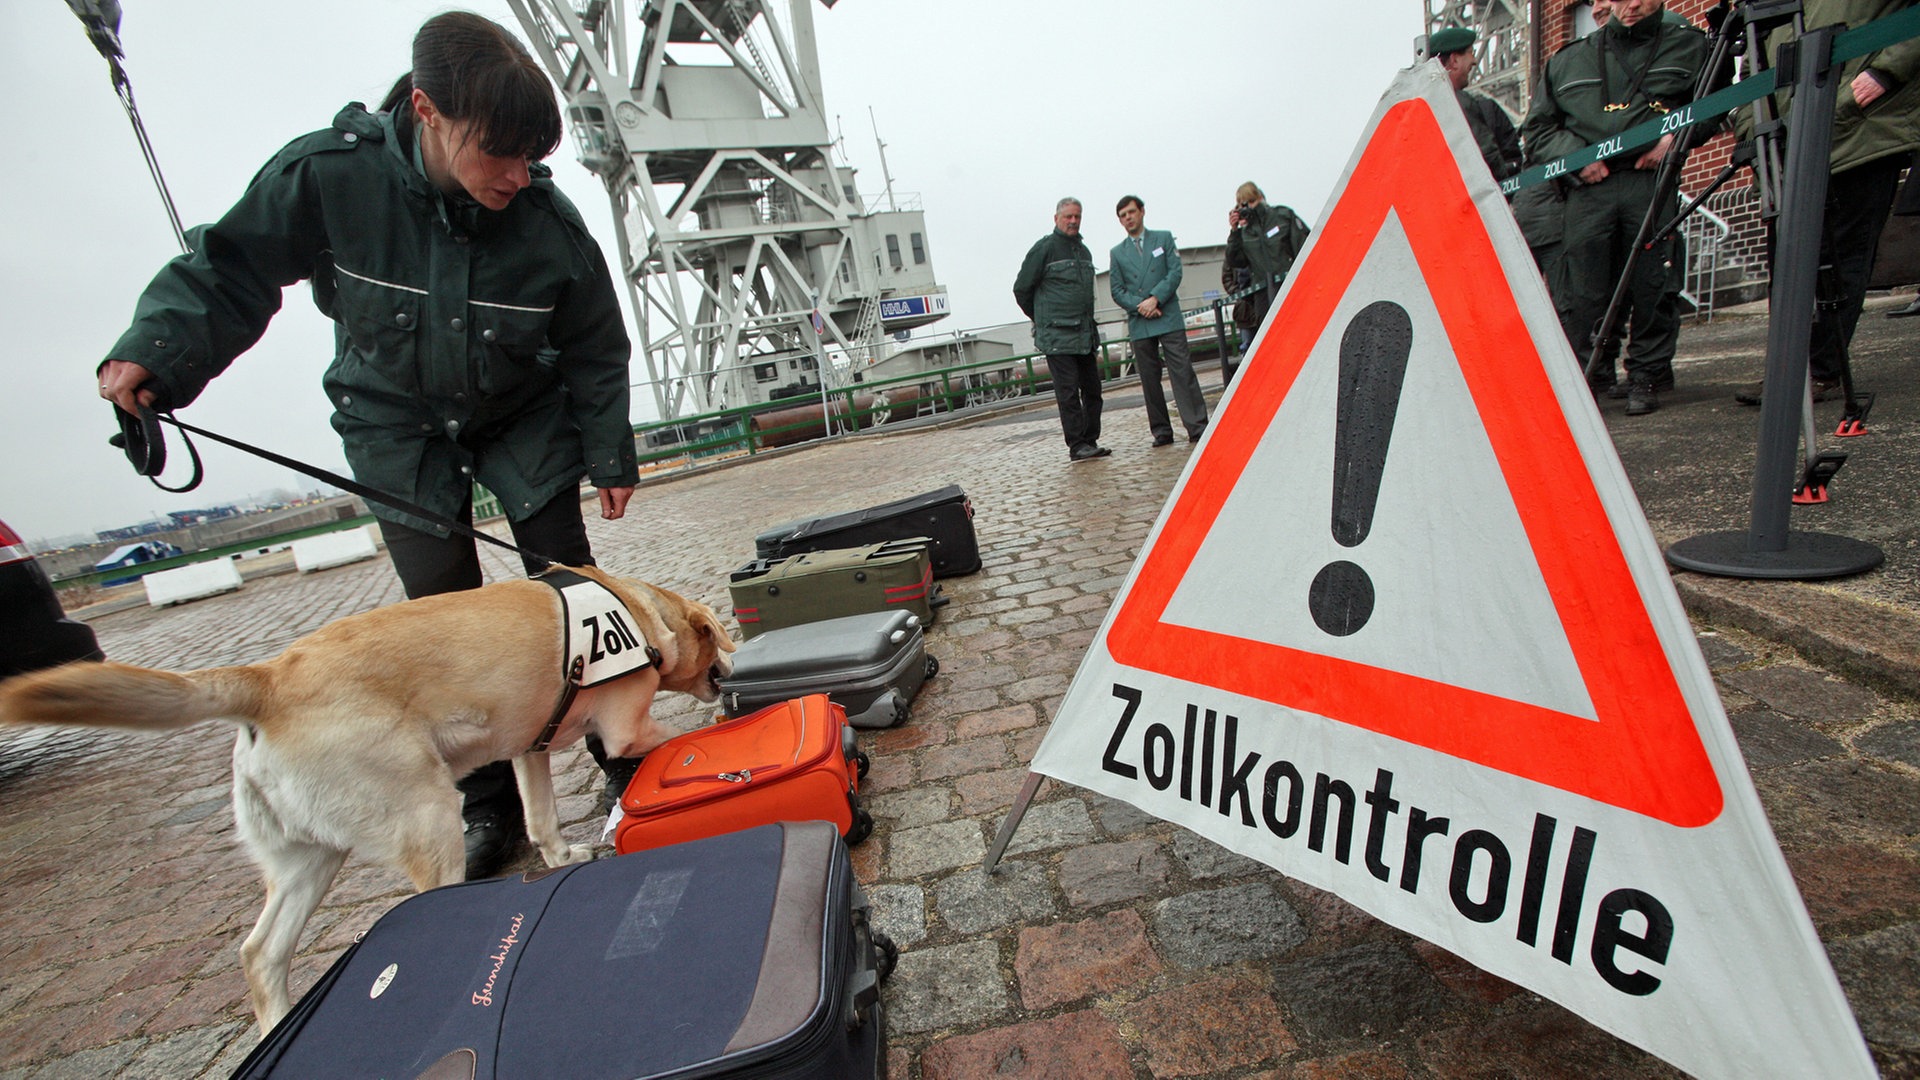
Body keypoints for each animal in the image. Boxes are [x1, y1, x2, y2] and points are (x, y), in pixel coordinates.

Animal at [0, 564, 733, 1037]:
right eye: (714, 641)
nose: (729, 668)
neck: (638, 612)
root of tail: (265, 679)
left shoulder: (528, 746)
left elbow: (541, 813)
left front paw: (558, 853)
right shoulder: (623, 727)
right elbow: (671, 737)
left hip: (307, 862)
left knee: (259, 955)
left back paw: (275, 1027)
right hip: (428, 817)